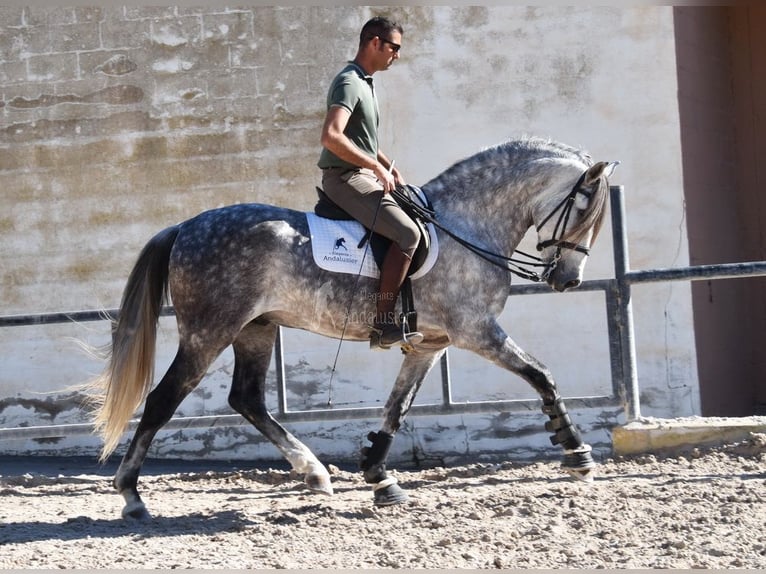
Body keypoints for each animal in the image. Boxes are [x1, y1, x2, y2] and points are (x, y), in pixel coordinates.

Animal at [88, 136, 618, 519]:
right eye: (583, 210)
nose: (568, 280)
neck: (468, 225)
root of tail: (184, 227)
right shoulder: (477, 331)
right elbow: (541, 375)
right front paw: (577, 453)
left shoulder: (430, 344)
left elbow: (396, 409)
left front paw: (380, 477)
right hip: (209, 331)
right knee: (163, 400)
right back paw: (132, 497)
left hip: (255, 329)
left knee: (247, 399)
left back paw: (314, 473)